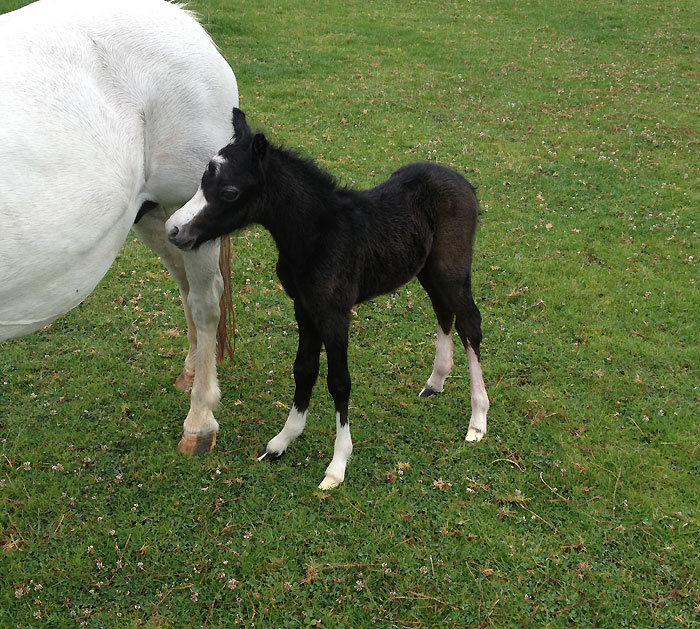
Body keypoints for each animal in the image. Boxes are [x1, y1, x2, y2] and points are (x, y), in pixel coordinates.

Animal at [0, 0, 239, 455]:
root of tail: (181, 18)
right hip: (155, 215)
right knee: (184, 284)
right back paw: (189, 373)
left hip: (190, 210)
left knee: (205, 301)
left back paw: (199, 418)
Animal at [166, 108, 490, 489]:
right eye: (203, 180)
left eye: (229, 192)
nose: (174, 229)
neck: (315, 234)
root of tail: (463, 181)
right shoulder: (304, 308)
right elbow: (304, 370)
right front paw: (281, 442)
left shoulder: (334, 312)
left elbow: (339, 382)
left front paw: (337, 464)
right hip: (428, 268)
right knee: (444, 312)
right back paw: (435, 382)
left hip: (453, 267)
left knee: (470, 323)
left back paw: (478, 419)